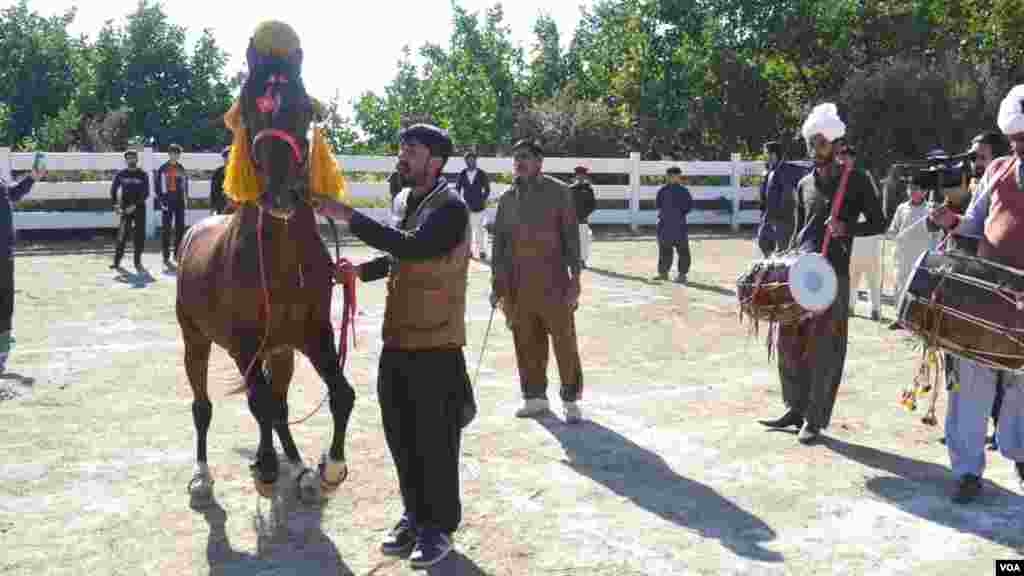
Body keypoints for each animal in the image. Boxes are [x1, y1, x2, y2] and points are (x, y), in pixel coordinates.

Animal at [176, 40, 352, 504]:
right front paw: (266, 468)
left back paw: (298, 465)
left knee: (281, 403)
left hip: (283, 351)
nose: (281, 194)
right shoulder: (244, 344)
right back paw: (203, 477)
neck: (281, 260)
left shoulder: (314, 335)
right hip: (195, 341)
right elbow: (259, 403)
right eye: (250, 110)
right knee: (204, 407)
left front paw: (328, 468)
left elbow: (340, 394)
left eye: (305, 109)